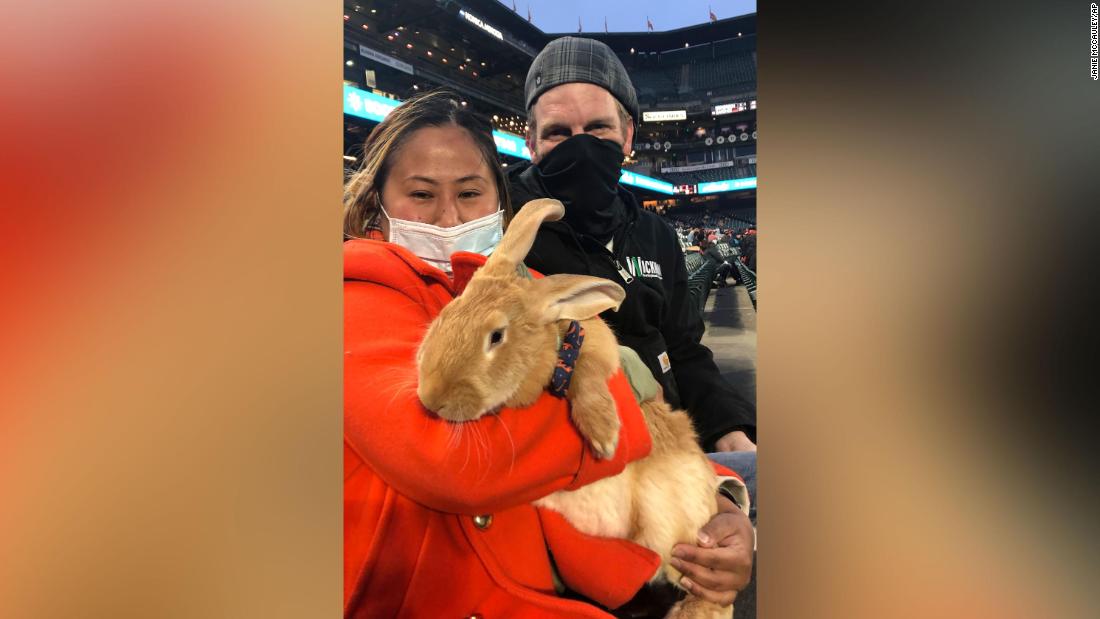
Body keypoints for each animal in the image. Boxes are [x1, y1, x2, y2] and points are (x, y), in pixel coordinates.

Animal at [415, 200, 734, 619]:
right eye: (445, 316)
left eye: (496, 336)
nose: (431, 398)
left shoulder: (596, 351)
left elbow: (589, 375)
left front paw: (604, 436)